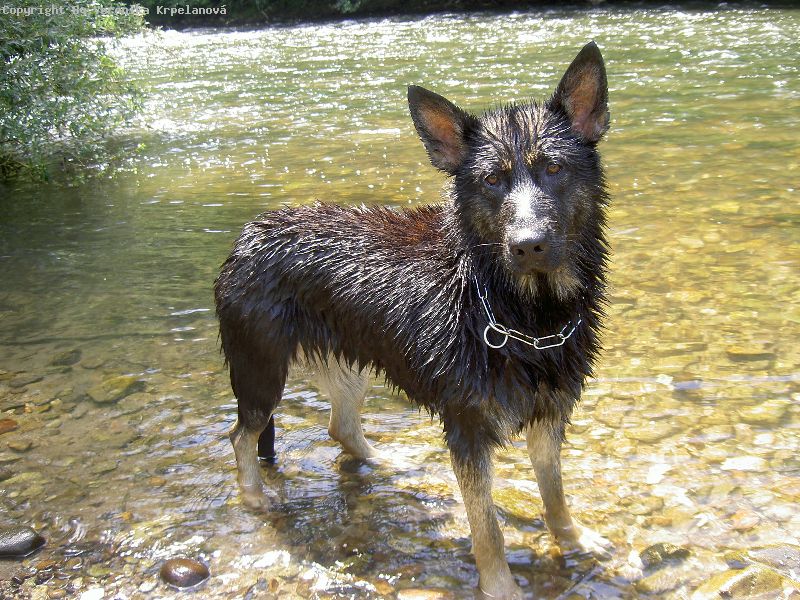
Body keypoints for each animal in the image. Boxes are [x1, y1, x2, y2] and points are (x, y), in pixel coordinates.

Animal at [214, 41, 612, 599]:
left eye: (554, 169)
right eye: (492, 180)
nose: (527, 244)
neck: (519, 315)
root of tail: (247, 233)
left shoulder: (549, 413)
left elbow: (554, 492)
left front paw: (572, 540)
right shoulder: (468, 430)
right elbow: (486, 526)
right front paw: (501, 586)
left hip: (349, 360)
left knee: (339, 426)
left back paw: (383, 461)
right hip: (261, 369)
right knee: (242, 436)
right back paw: (254, 498)